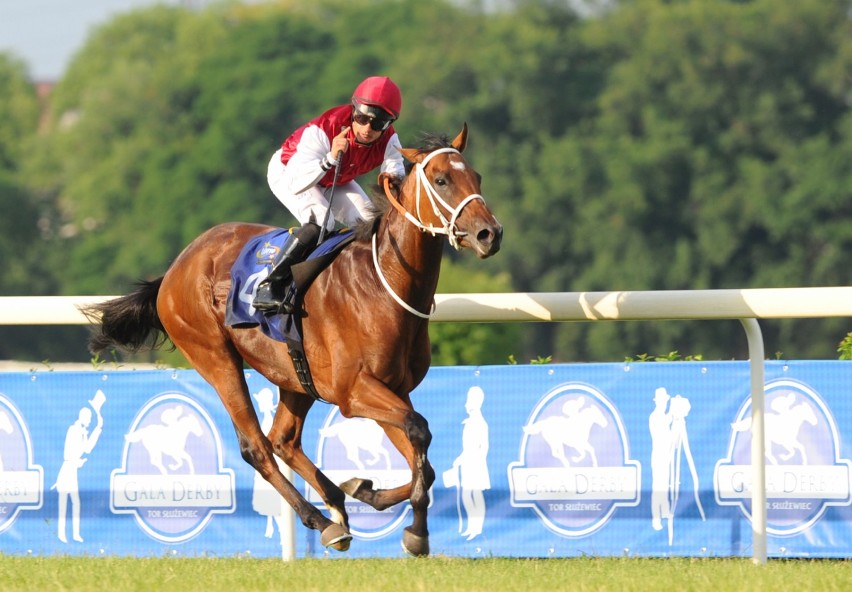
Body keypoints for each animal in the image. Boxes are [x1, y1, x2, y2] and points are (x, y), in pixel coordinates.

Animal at [81, 125, 500, 556]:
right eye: (441, 180)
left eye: (477, 177)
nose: (490, 234)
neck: (382, 283)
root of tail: (175, 267)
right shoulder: (354, 392)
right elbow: (419, 432)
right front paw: (415, 531)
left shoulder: (393, 389)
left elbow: (424, 464)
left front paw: (366, 490)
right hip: (215, 357)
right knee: (257, 446)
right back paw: (322, 520)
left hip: (295, 376)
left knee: (283, 439)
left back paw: (336, 503)